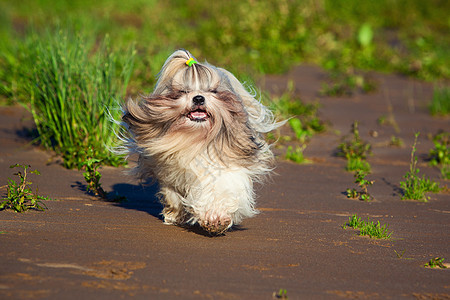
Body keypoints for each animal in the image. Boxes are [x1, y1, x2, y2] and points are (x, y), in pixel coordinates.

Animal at [121, 49, 280, 234]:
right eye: (183, 91)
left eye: (212, 91)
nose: (198, 98)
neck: (195, 140)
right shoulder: (170, 171)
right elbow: (173, 193)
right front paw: (177, 214)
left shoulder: (224, 166)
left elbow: (219, 189)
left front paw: (215, 218)